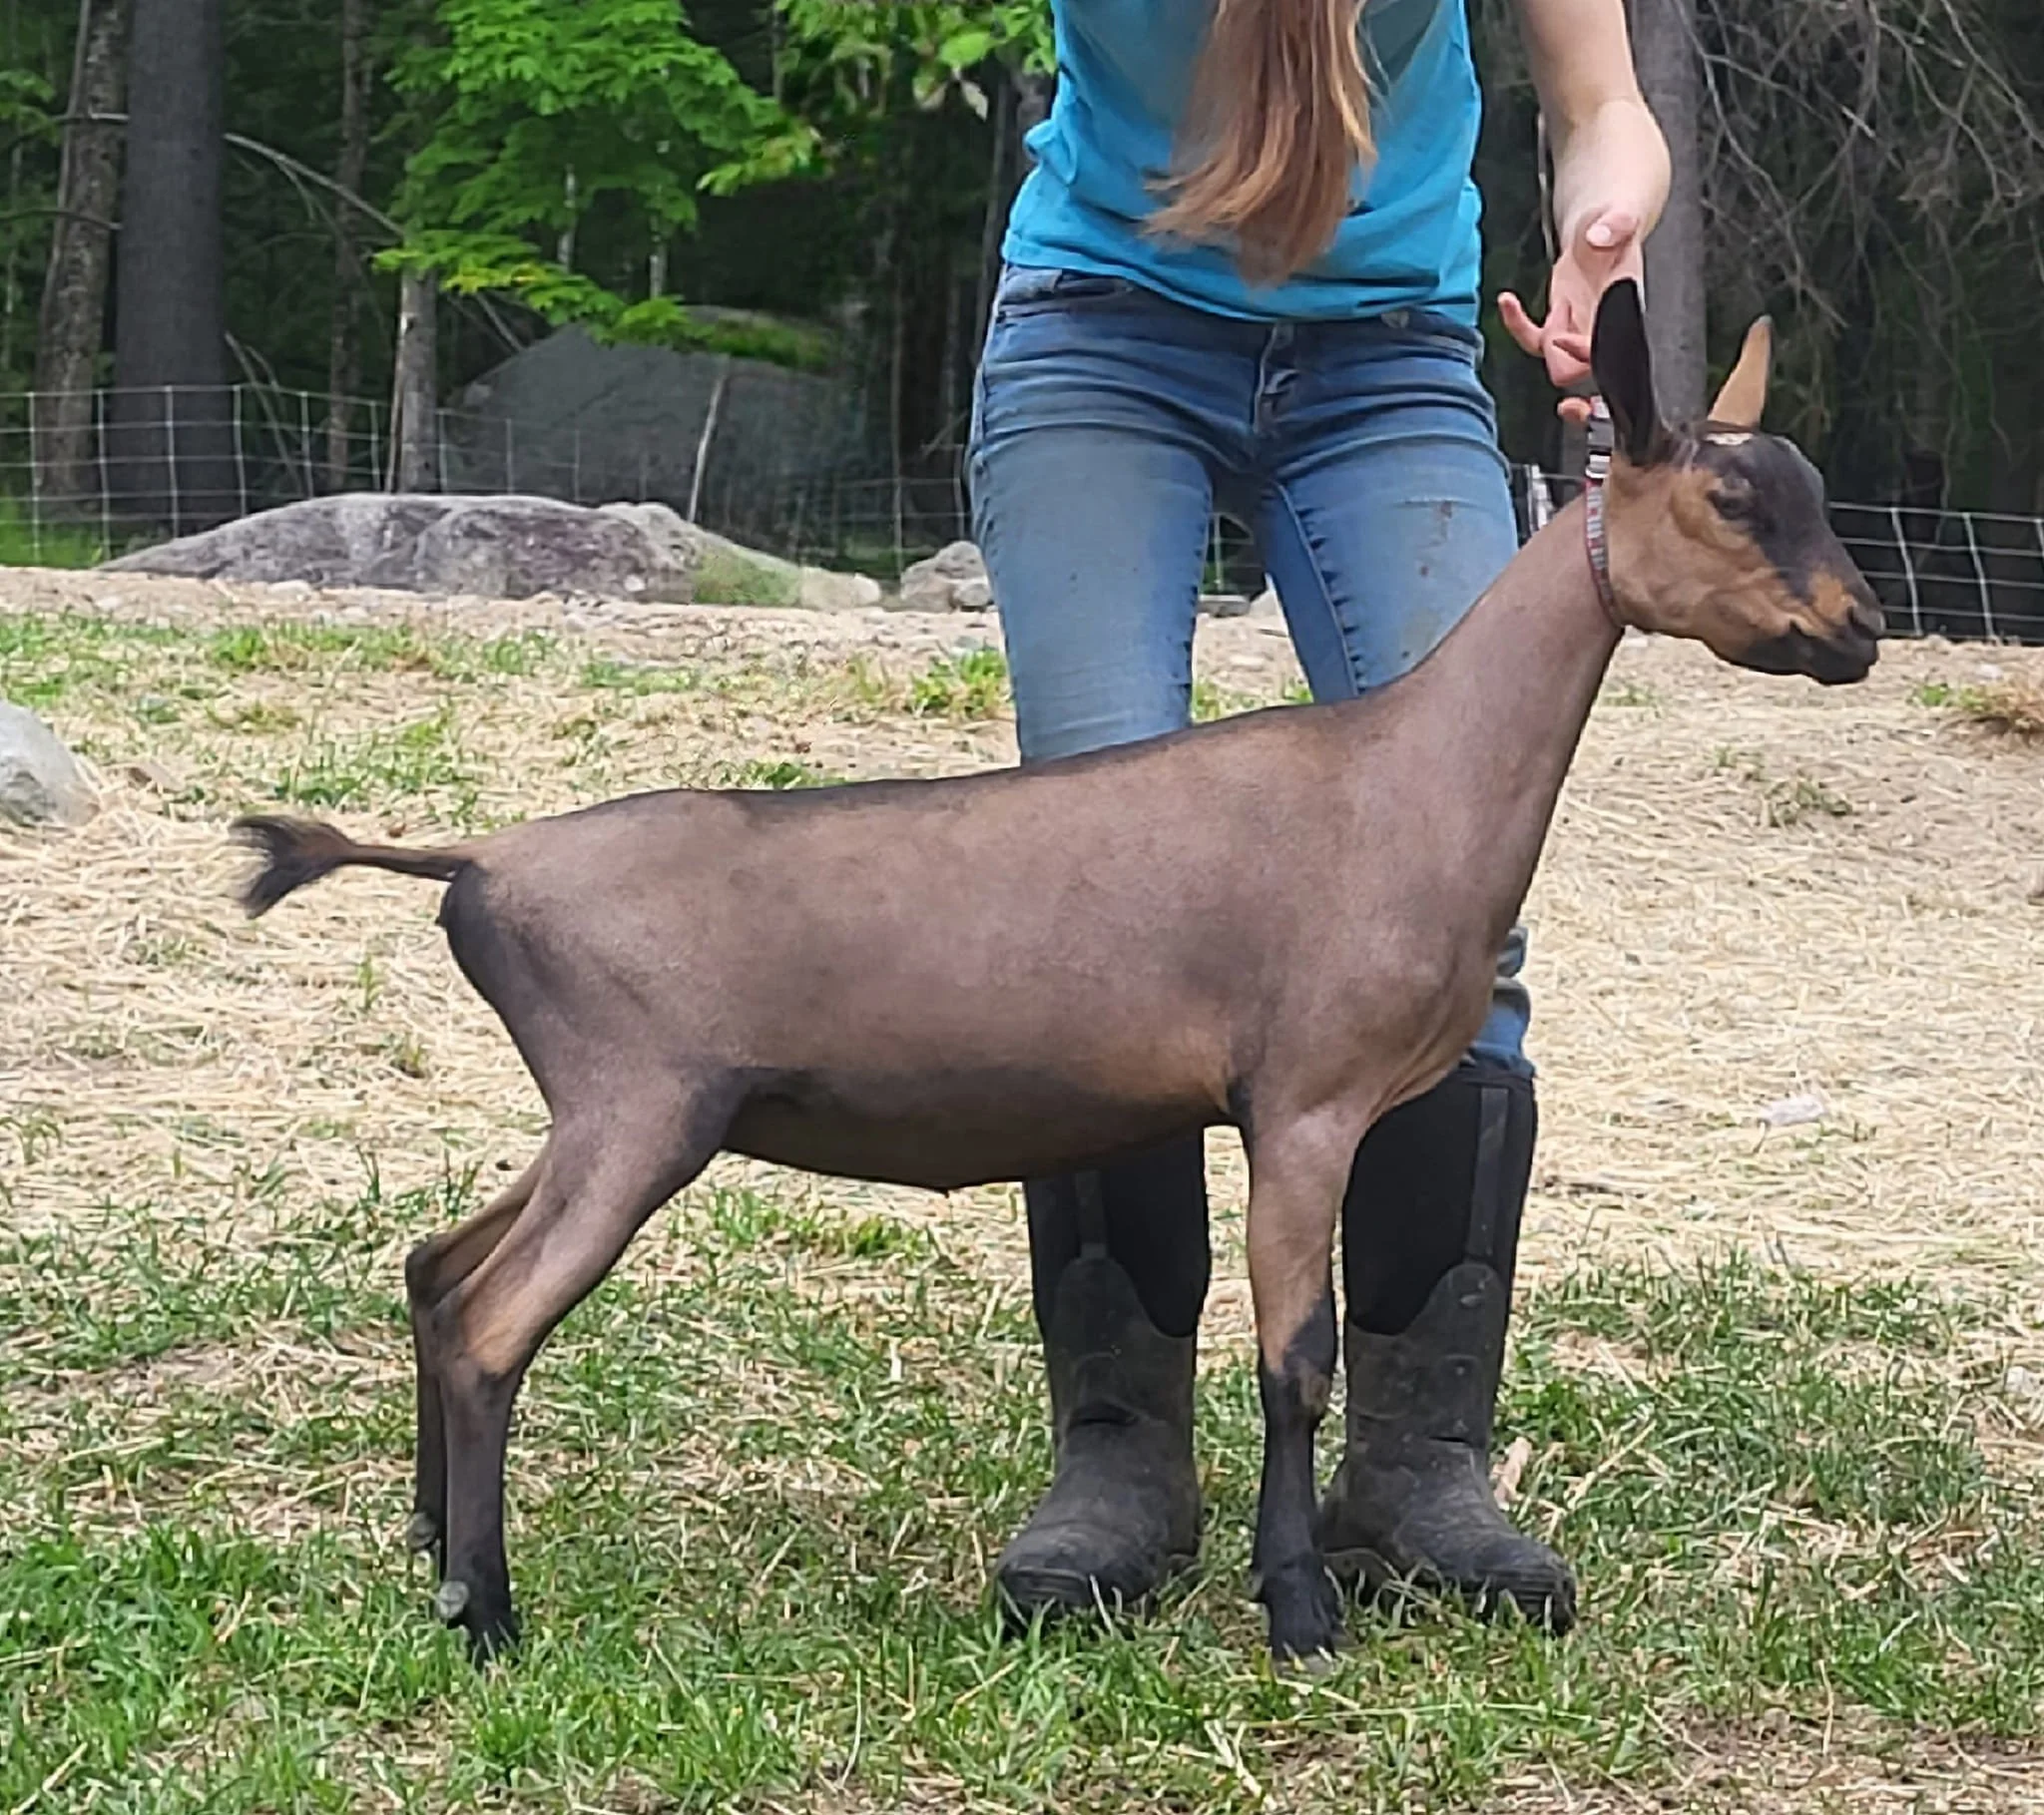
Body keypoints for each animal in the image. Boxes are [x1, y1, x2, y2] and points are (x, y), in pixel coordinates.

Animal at [232, 282, 1882, 1667]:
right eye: (1735, 496)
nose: (1858, 631)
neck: (1401, 780)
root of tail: (478, 865)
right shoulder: (1303, 1101)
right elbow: (1296, 1359)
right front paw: (1301, 1613)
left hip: (595, 1113)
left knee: (438, 1268)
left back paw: (432, 1552)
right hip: (638, 1105)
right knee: (494, 1320)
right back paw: (490, 1613)